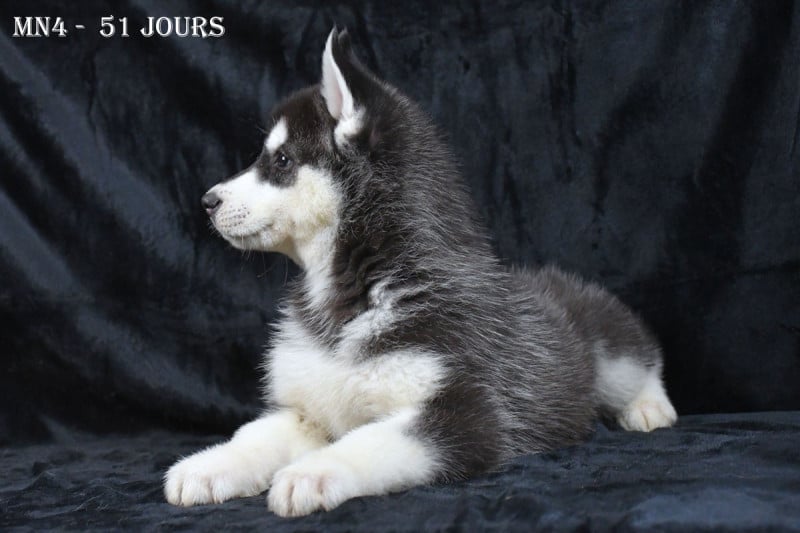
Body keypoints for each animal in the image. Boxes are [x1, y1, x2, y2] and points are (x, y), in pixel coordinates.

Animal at [164, 28, 677, 517]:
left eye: (282, 160)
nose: (207, 201)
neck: (363, 290)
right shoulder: (310, 407)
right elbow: (256, 433)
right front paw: (208, 466)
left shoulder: (467, 412)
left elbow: (370, 441)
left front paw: (312, 473)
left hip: (609, 346)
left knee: (642, 360)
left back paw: (650, 408)